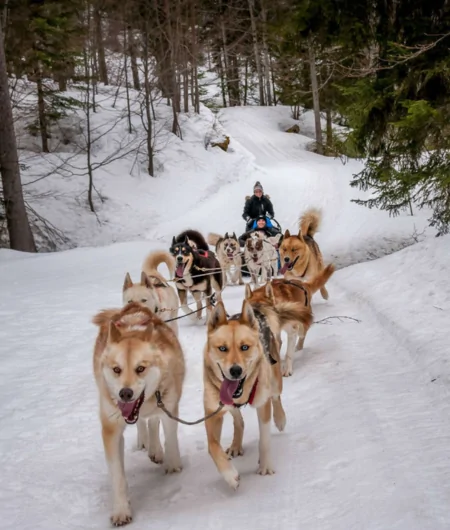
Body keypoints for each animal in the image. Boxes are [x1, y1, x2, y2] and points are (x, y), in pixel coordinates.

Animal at [91, 302, 185, 524]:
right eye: (116, 369)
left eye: (140, 368)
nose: (125, 393)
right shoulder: (111, 429)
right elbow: (117, 475)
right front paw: (121, 510)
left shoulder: (168, 408)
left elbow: (170, 438)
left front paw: (173, 464)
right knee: (143, 423)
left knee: (152, 422)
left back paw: (155, 449)